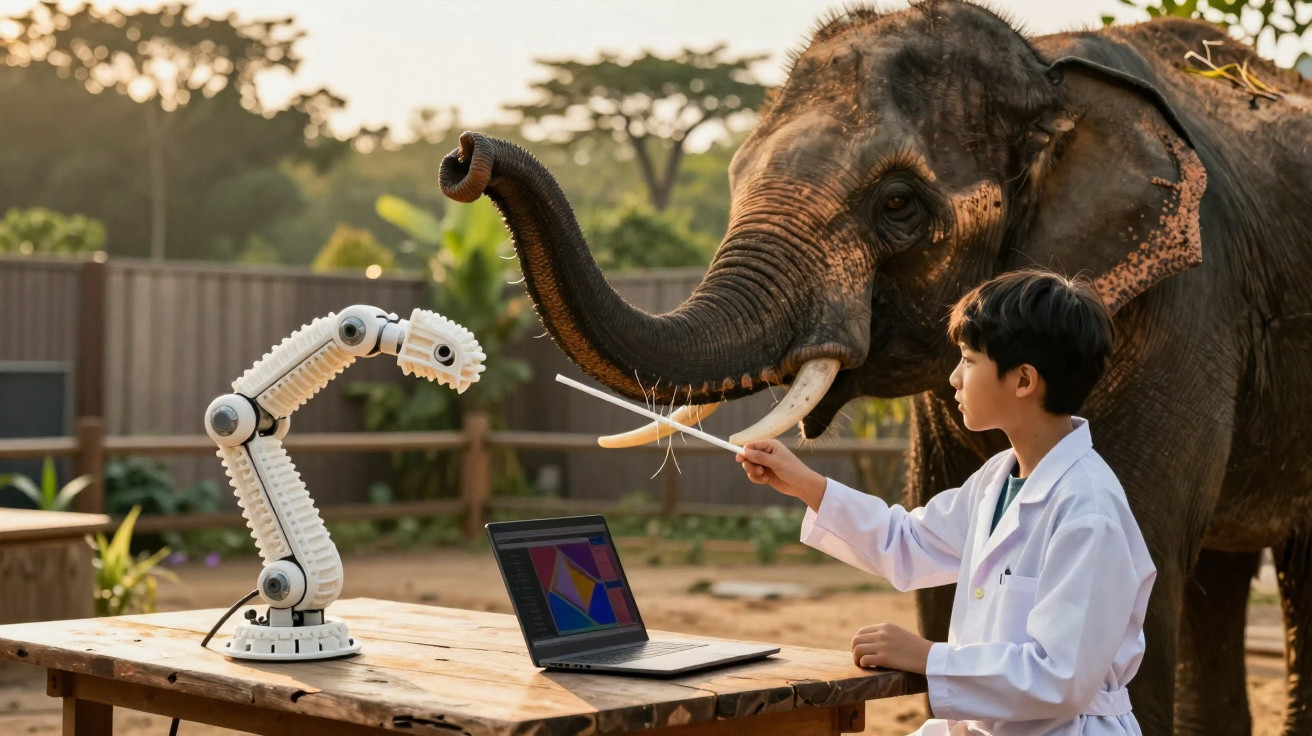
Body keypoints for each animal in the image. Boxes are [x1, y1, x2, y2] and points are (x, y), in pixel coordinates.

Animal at [438, 1, 1312, 733]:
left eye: (898, 203)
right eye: (734, 177)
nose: (464, 157)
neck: (1048, 72)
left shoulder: (1183, 307)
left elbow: (1139, 575)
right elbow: (930, 553)